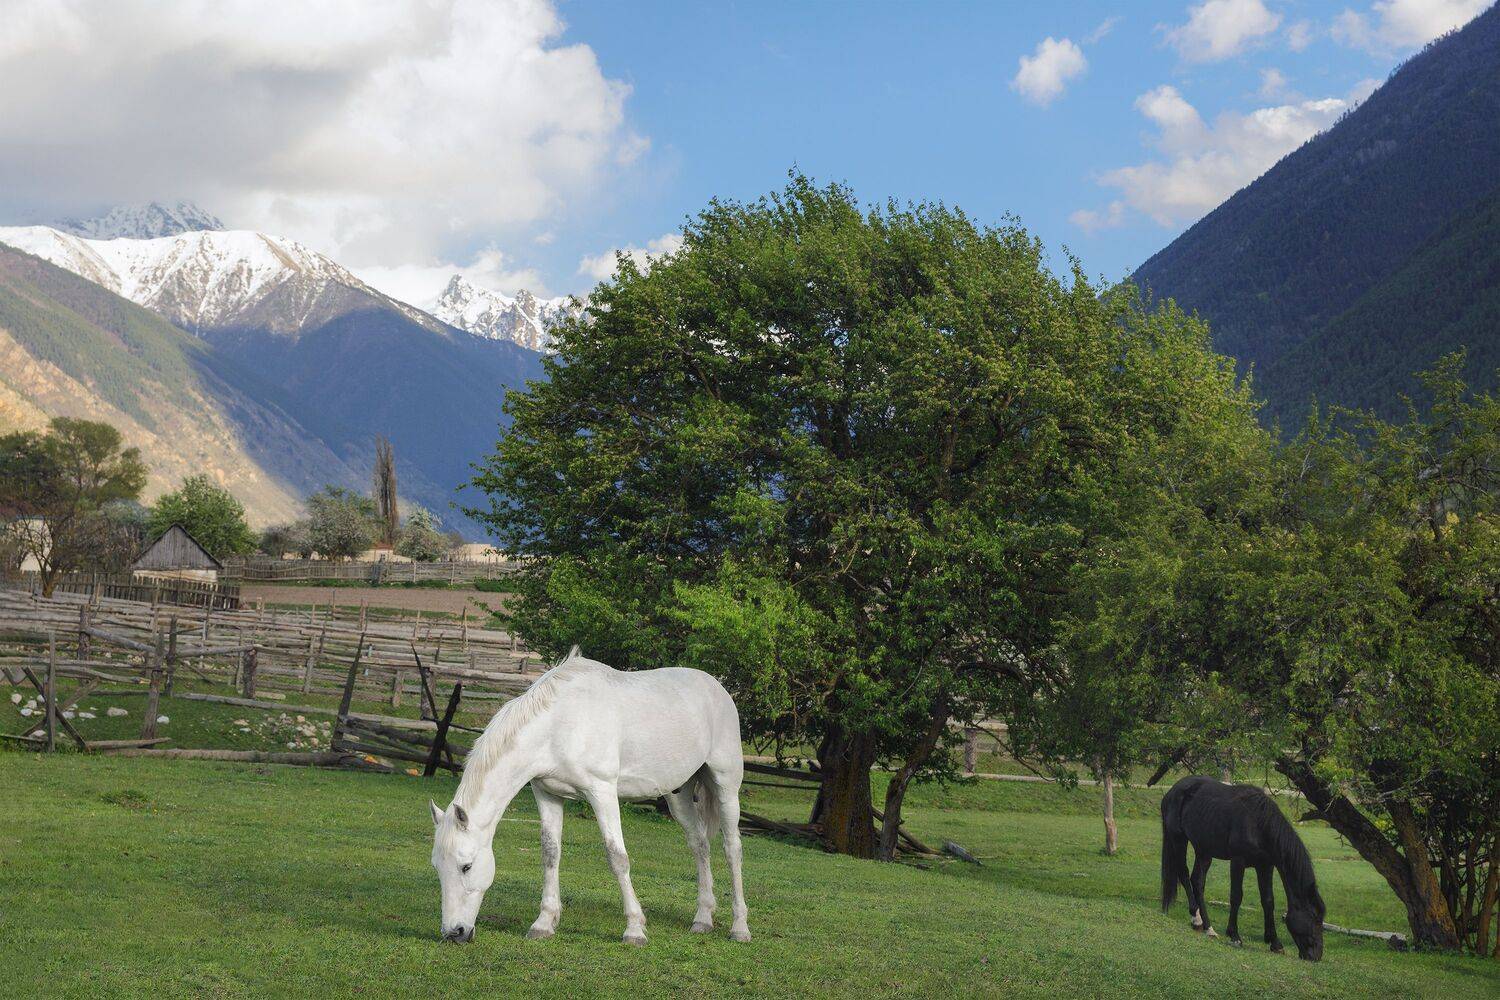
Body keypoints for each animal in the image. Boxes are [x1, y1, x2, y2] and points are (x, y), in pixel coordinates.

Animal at [429, 646, 751, 946]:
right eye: (437, 867)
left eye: (466, 866)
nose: (454, 932)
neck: (558, 724)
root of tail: (717, 687)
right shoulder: (546, 793)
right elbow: (550, 853)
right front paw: (544, 923)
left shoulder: (602, 791)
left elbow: (617, 856)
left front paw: (634, 929)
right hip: (678, 795)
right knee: (699, 844)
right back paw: (703, 919)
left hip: (725, 785)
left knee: (732, 849)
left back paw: (740, 927)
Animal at [1160, 775, 1326, 961]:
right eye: (1315, 918)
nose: (1316, 956)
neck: (1258, 823)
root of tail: (1173, 791)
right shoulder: (1238, 862)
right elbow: (1236, 897)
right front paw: (1235, 936)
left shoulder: (1265, 866)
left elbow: (1268, 901)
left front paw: (1275, 943)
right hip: (1178, 839)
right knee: (1184, 874)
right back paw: (1197, 920)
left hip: (1203, 849)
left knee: (1197, 882)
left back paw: (1208, 928)